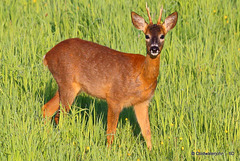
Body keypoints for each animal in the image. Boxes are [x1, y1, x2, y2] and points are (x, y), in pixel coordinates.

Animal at [42, 4, 178, 150]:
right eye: (146, 36)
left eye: (162, 36)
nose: (154, 48)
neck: (142, 75)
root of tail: (47, 56)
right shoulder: (114, 98)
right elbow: (111, 131)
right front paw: (109, 151)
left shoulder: (142, 102)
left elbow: (147, 131)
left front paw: (151, 151)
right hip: (67, 83)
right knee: (60, 115)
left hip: (67, 86)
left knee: (47, 109)